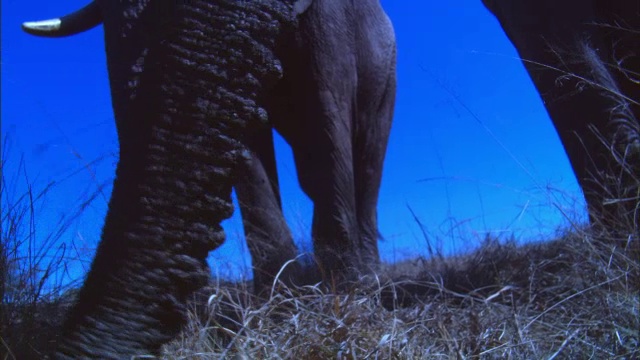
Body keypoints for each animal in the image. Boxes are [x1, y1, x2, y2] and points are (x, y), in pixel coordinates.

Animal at [23, 0, 396, 358]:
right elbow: (249, 138)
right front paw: (277, 310)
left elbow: (326, 116)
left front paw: (344, 306)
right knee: (312, 174)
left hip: (388, 78)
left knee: (364, 160)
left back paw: (367, 284)